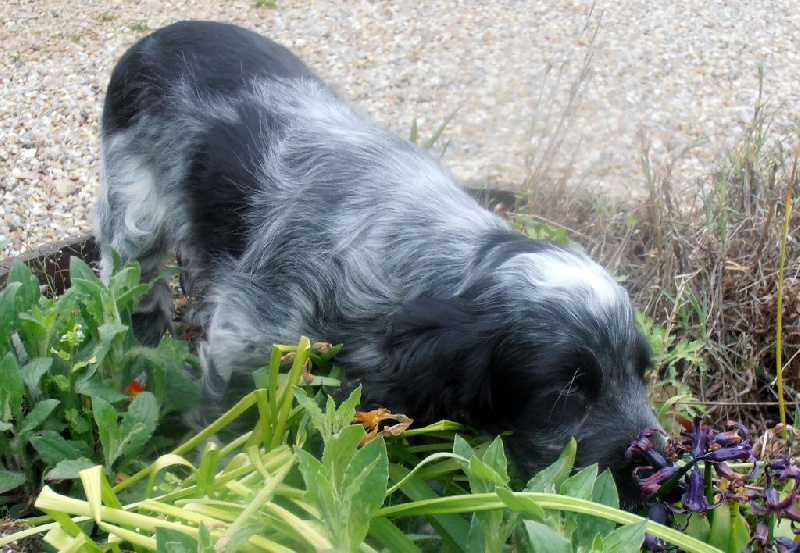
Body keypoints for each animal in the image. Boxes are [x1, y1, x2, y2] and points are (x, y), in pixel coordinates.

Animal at [95, 20, 664, 504]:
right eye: (566, 391)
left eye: (642, 371)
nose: (659, 471)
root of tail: (152, 38)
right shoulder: (248, 341)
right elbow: (226, 420)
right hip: (134, 216)